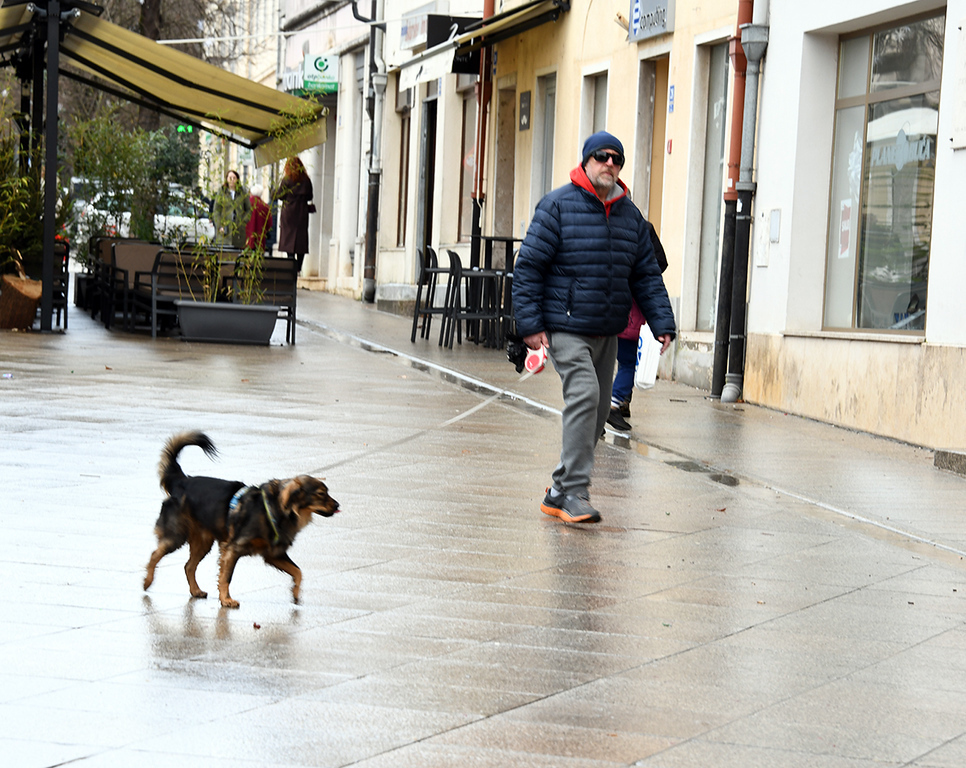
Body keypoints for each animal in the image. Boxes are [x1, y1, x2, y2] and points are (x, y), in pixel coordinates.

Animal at [144, 436, 340, 608]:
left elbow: (298, 571)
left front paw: (296, 594)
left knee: (188, 566)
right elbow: (226, 577)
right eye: (321, 494)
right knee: (155, 554)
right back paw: (147, 581)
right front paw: (226, 600)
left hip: (203, 542)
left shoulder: (273, 553)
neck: (275, 508)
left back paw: (195, 590)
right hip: (177, 536)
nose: (338, 505)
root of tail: (182, 481)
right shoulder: (233, 548)